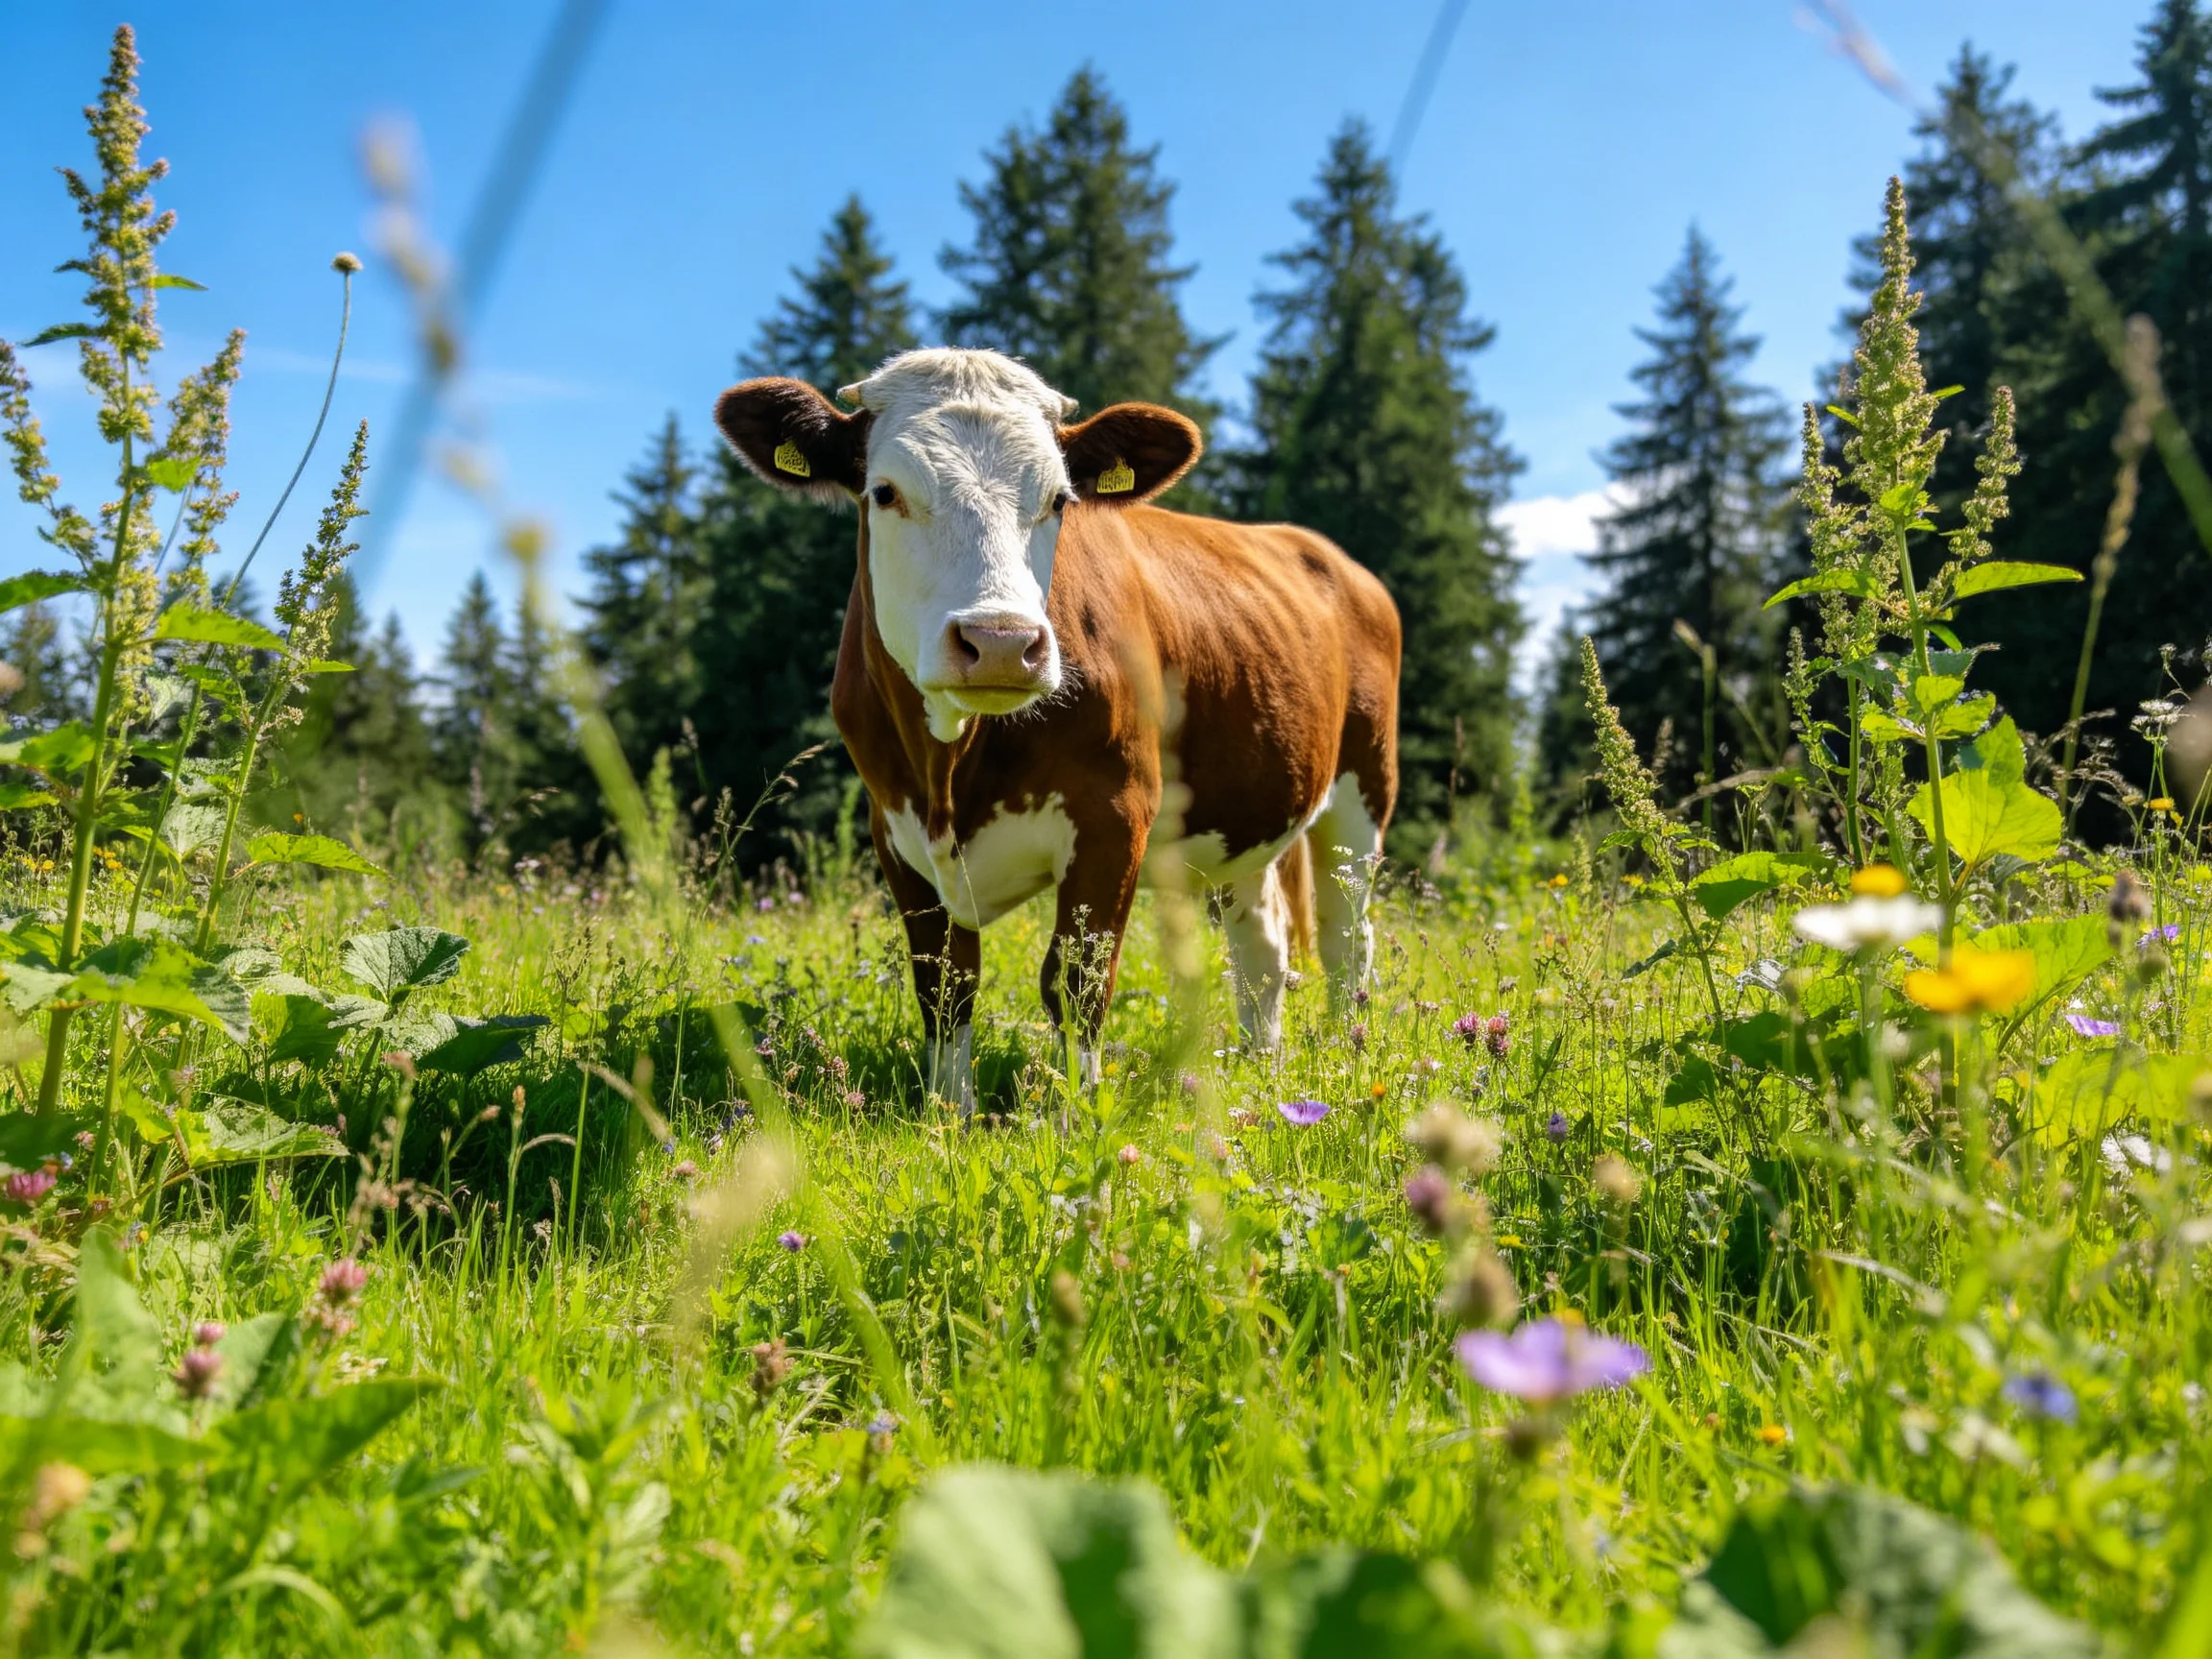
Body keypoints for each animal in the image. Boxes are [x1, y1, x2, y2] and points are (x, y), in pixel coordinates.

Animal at [713, 349, 1399, 1113]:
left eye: (1059, 501)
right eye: (885, 492)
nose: (1001, 642)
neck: (950, 771)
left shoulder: (1113, 814)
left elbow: (1076, 983)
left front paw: (1076, 1118)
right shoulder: (892, 826)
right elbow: (946, 984)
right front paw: (949, 1115)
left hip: (1364, 790)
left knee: (1347, 936)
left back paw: (1343, 1055)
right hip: (1248, 811)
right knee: (1263, 946)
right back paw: (1261, 1066)